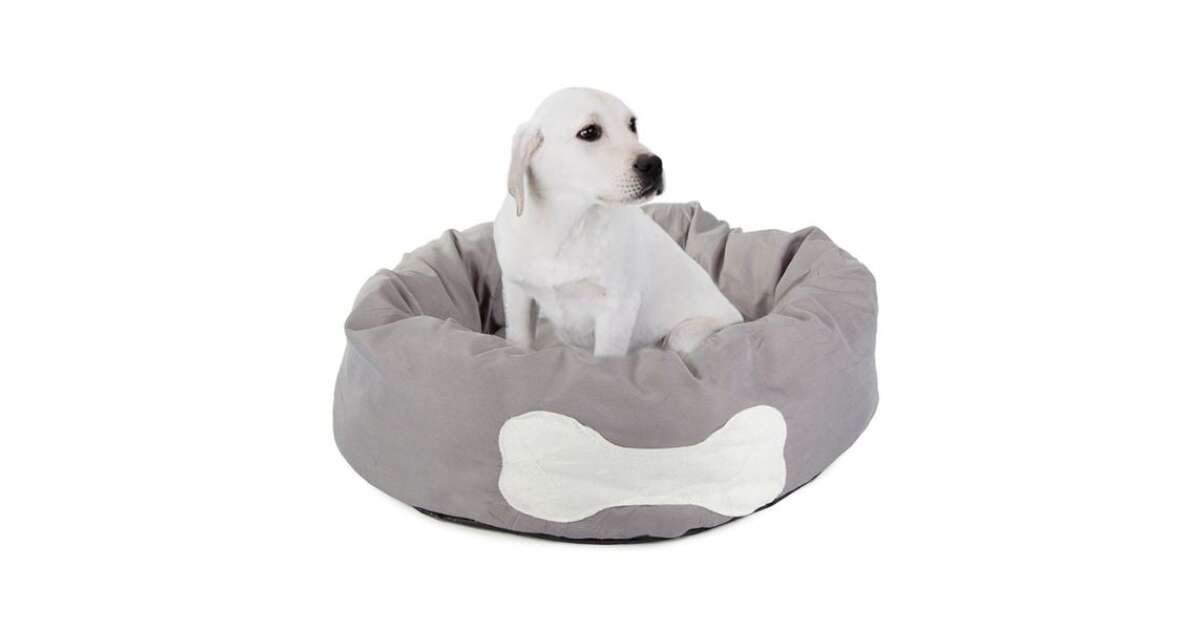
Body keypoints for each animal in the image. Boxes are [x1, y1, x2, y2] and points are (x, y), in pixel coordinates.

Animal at [494, 87, 743, 357]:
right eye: (589, 132)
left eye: (632, 125)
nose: (654, 164)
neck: (569, 223)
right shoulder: (516, 291)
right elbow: (519, 342)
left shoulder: (618, 308)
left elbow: (606, 356)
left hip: (683, 336)